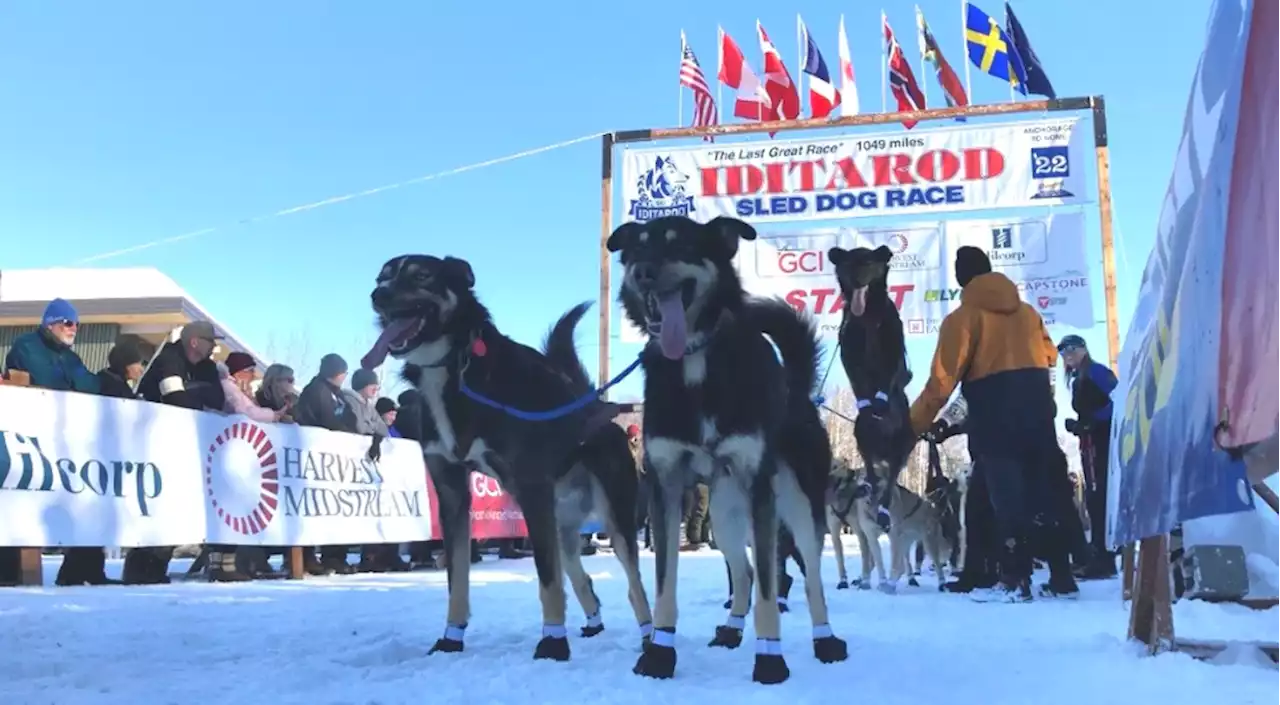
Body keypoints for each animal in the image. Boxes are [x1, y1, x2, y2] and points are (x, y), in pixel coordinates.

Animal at [366, 257, 655, 665]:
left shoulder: (531, 488)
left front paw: (553, 643)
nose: (378, 295)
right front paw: (451, 638)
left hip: (611, 519)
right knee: (580, 575)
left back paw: (649, 636)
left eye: (421, 274)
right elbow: (457, 579)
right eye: (384, 276)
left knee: (633, 584)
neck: (457, 371)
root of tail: (596, 408)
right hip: (559, 525)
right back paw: (594, 622)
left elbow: (548, 582)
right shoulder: (452, 492)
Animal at [604, 216, 844, 690]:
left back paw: (825, 640)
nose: (644, 272)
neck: (696, 362)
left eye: (681, 245)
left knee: (811, 579)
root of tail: (797, 388)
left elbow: (771, 591)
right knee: (744, 572)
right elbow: (665, 585)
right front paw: (659, 653)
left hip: (797, 506)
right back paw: (732, 630)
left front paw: (770, 661)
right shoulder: (665, 487)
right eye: (637, 249)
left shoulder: (761, 490)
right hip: (726, 512)